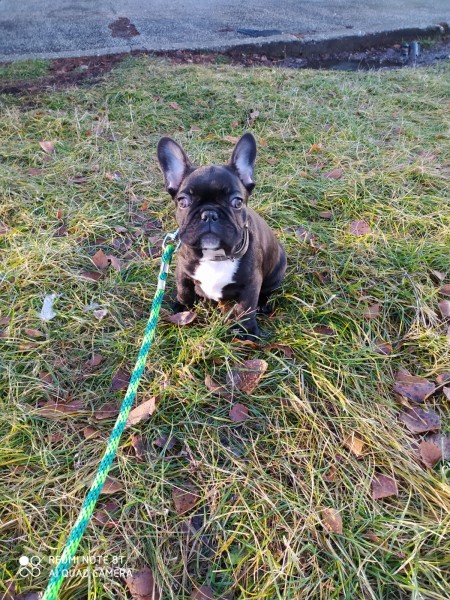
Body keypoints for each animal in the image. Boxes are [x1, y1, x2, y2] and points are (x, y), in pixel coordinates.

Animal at [157, 132, 286, 339]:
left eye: (237, 202)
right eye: (183, 202)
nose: (209, 214)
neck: (215, 255)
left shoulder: (251, 284)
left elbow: (246, 307)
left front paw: (247, 331)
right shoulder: (182, 271)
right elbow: (184, 289)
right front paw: (182, 307)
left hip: (277, 269)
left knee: (266, 292)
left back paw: (262, 305)